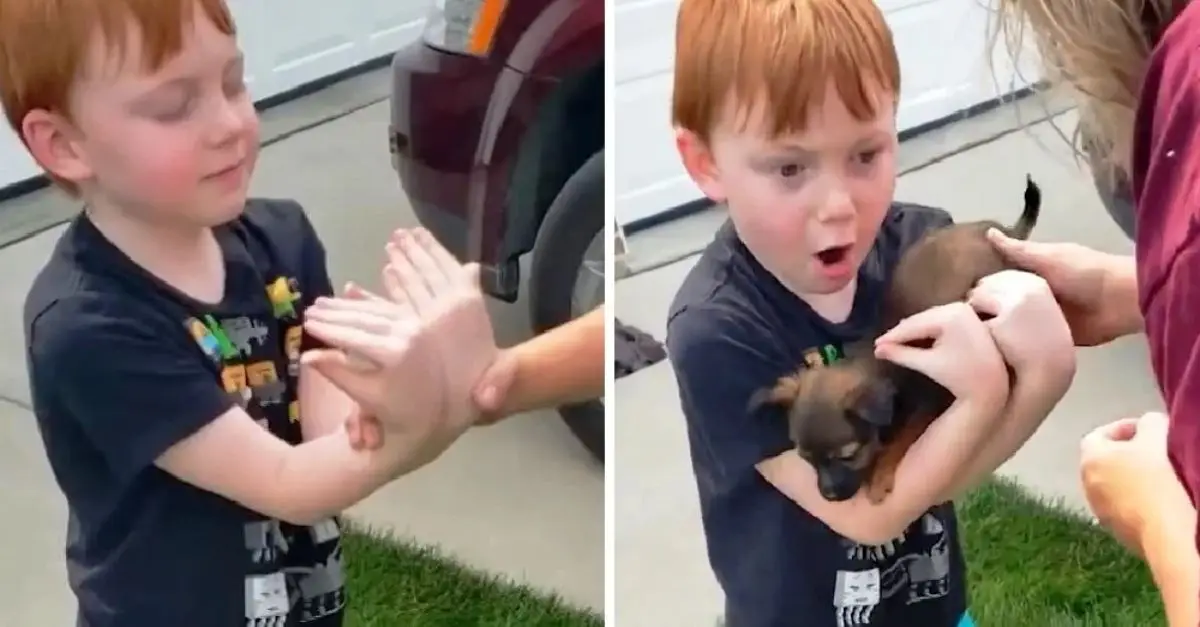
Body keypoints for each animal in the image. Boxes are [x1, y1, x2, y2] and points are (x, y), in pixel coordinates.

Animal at [748, 174, 1041, 502]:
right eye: (806, 460)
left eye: (847, 456)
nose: (827, 495)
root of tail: (1004, 231)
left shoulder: (930, 399)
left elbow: (902, 438)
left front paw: (879, 476)